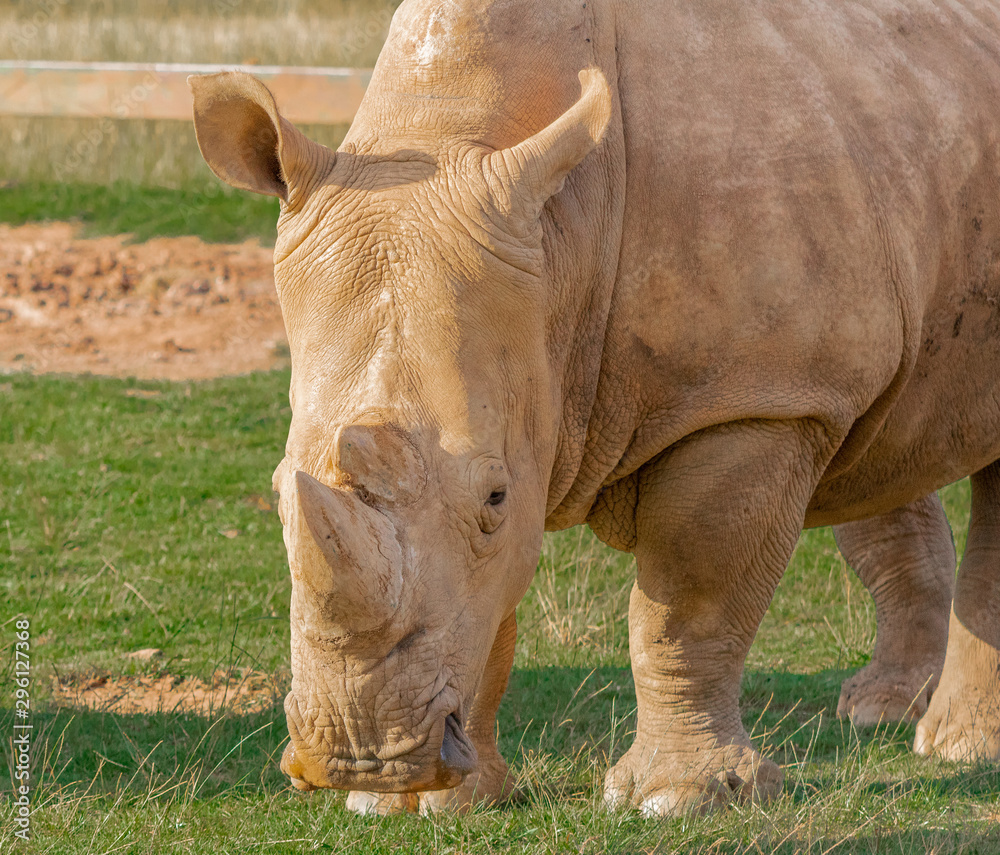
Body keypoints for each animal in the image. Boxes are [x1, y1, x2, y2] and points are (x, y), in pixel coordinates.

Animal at [190, 0, 1000, 816]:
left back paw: (954, 746)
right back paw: (884, 713)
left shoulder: (754, 399)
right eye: (278, 492)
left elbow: (686, 603)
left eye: (493, 495)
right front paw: (422, 803)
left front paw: (680, 798)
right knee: (886, 439)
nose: (358, 757)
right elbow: (489, 610)